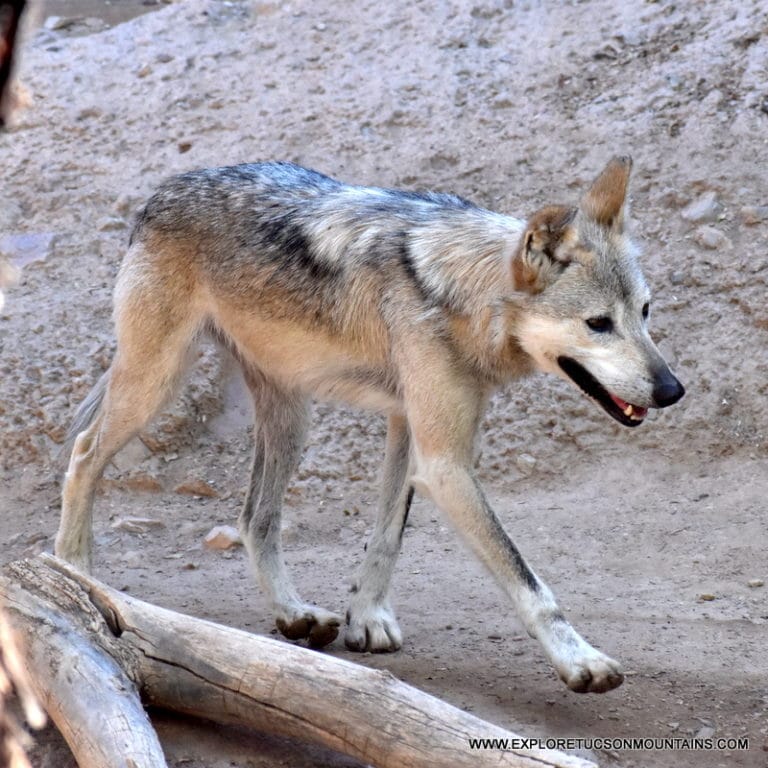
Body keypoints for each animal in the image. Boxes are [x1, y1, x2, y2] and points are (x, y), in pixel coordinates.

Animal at [57, 153, 688, 692]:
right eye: (598, 324)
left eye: (645, 312)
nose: (672, 390)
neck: (462, 293)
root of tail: (162, 192)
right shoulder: (444, 462)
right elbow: (527, 577)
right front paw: (580, 660)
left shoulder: (409, 429)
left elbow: (388, 534)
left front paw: (366, 618)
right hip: (156, 386)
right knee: (85, 454)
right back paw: (76, 574)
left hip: (292, 419)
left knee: (255, 518)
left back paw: (294, 614)